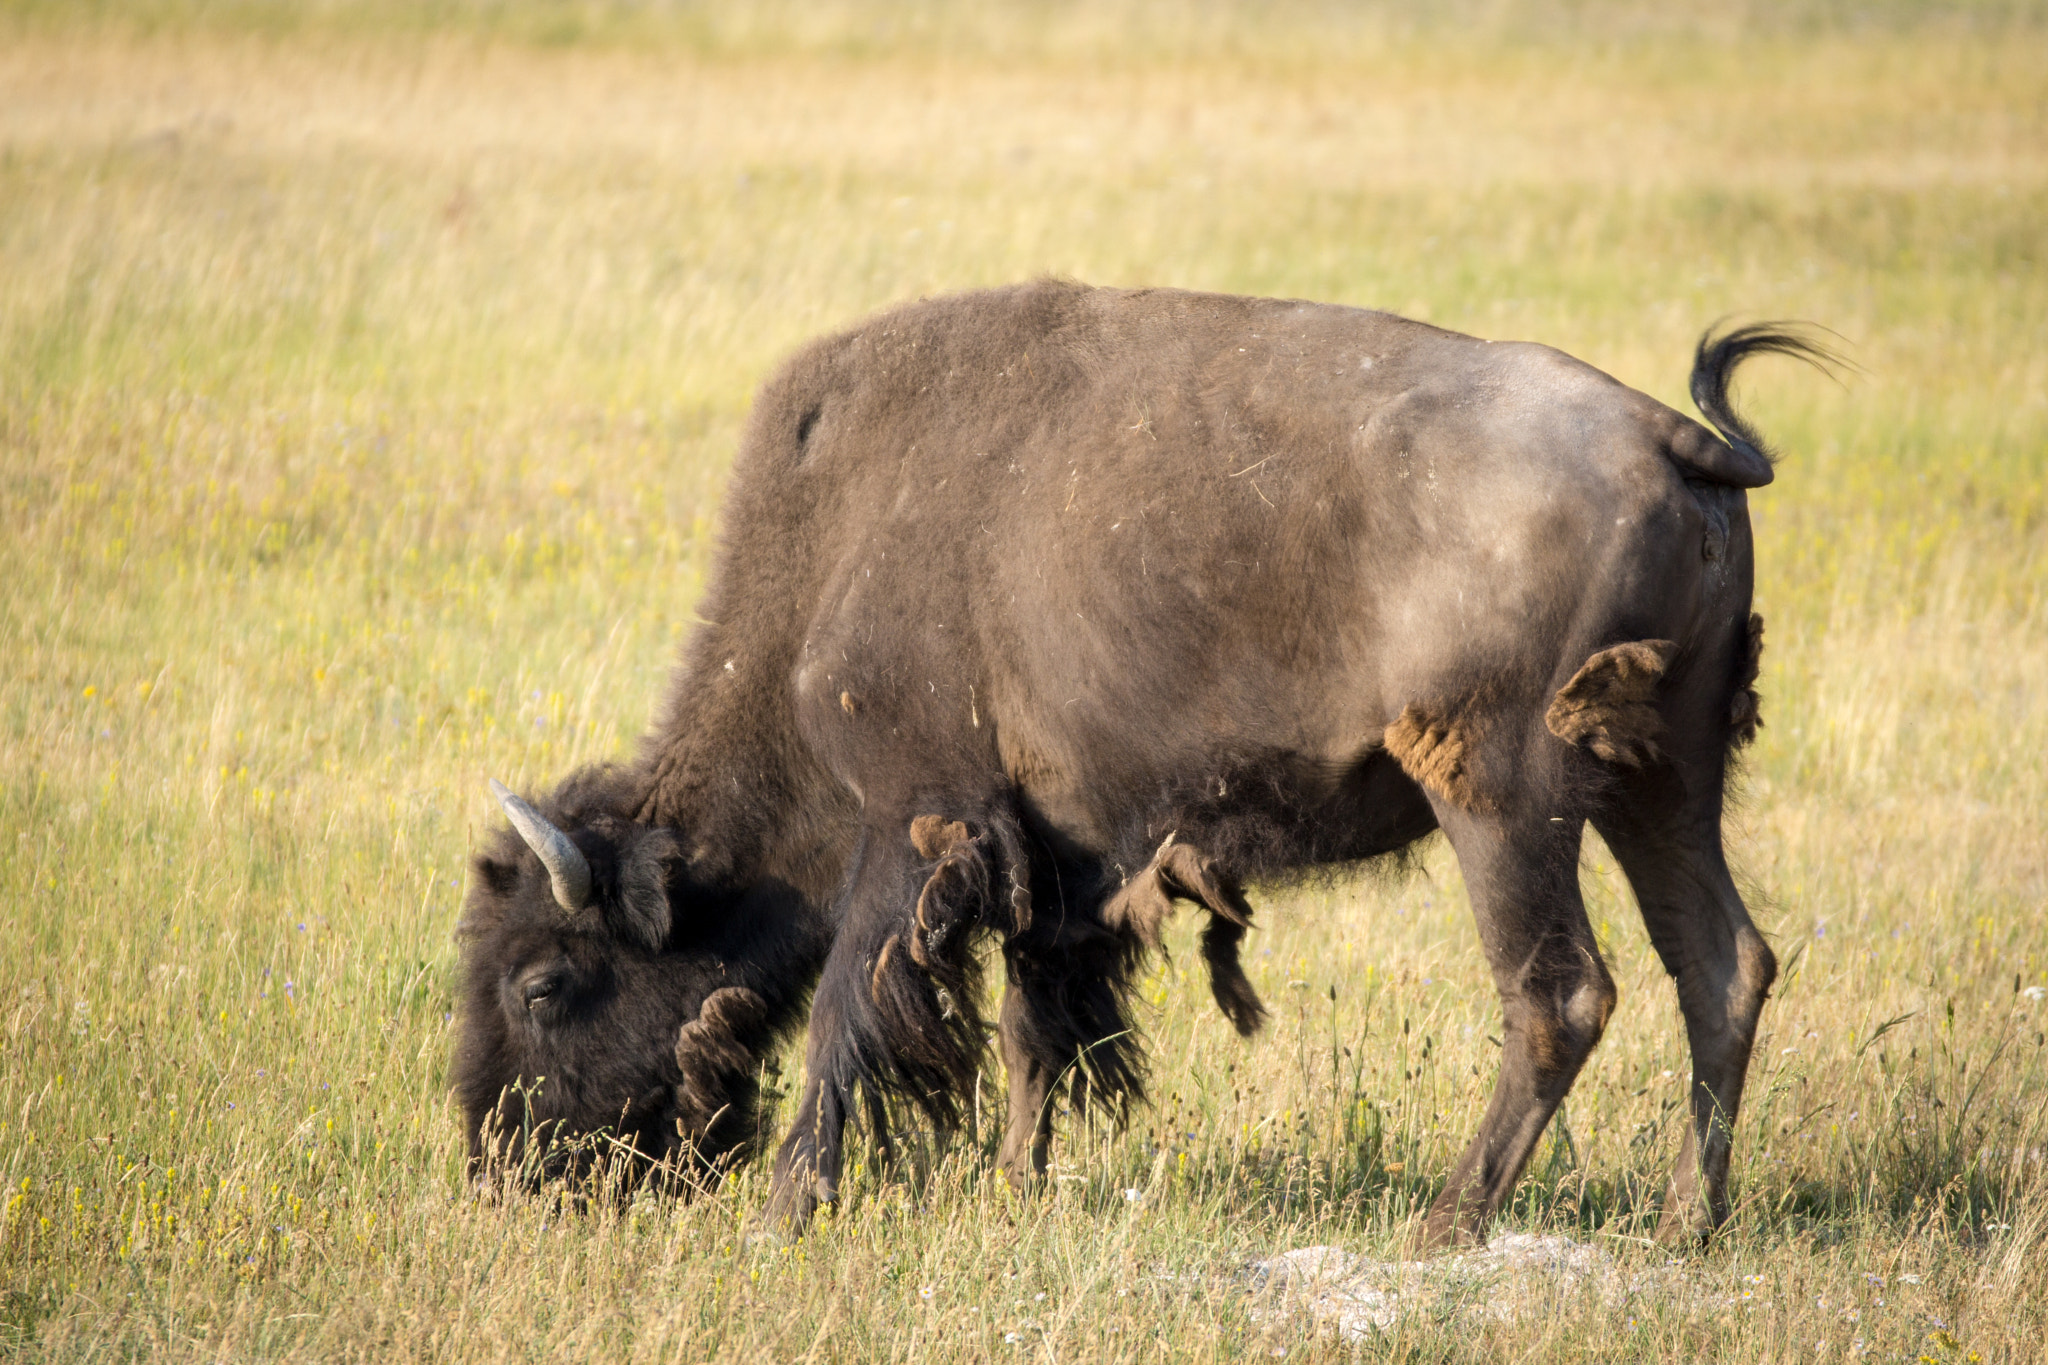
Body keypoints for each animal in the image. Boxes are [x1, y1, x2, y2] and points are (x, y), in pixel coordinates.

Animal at [453, 280, 1830, 1248]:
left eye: (543, 982)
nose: (502, 1170)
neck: (838, 547)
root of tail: (1662, 433)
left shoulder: (910, 821)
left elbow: (854, 1013)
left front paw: (790, 1207)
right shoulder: (1045, 859)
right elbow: (1031, 1032)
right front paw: (1012, 1190)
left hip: (1504, 792)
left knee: (1560, 994)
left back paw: (1444, 1226)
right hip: (1662, 774)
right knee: (1720, 965)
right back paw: (1683, 1224)